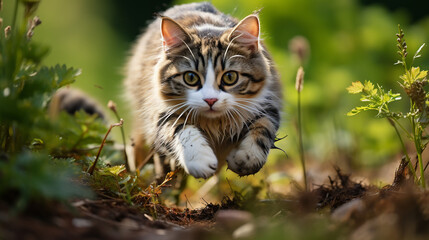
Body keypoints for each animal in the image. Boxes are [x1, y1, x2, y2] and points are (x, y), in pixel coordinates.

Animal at [124, 1, 280, 178]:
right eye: (191, 78)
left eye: (230, 77)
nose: (210, 100)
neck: (216, 123)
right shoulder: (159, 113)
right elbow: (181, 129)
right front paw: (199, 160)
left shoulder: (268, 104)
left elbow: (263, 128)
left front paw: (247, 158)